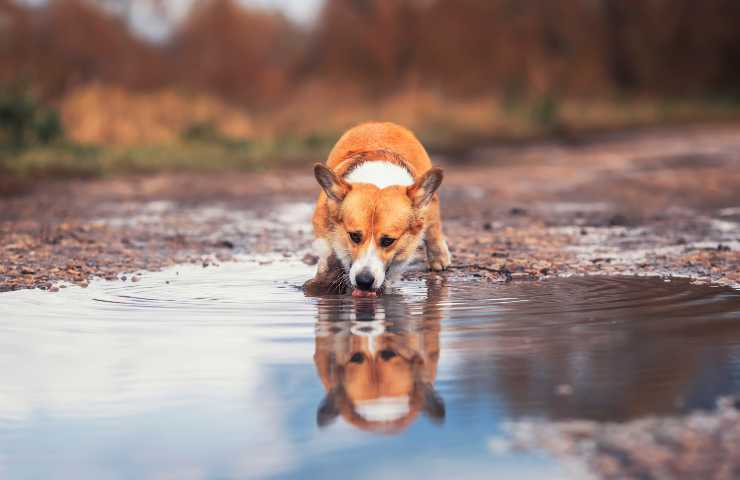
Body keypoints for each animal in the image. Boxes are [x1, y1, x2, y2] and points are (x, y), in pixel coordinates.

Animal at [304, 121, 448, 296]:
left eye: (388, 241)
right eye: (354, 236)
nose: (364, 281)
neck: (379, 179)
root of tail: (381, 123)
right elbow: (329, 254)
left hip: (430, 201)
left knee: (433, 225)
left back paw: (439, 257)